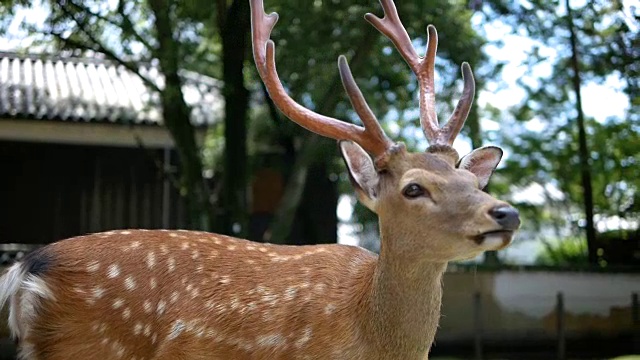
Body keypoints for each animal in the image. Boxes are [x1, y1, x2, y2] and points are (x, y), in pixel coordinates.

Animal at [0, 0, 520, 358]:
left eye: (472, 181)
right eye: (413, 187)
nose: (506, 212)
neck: (369, 336)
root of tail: (26, 271)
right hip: (91, 344)